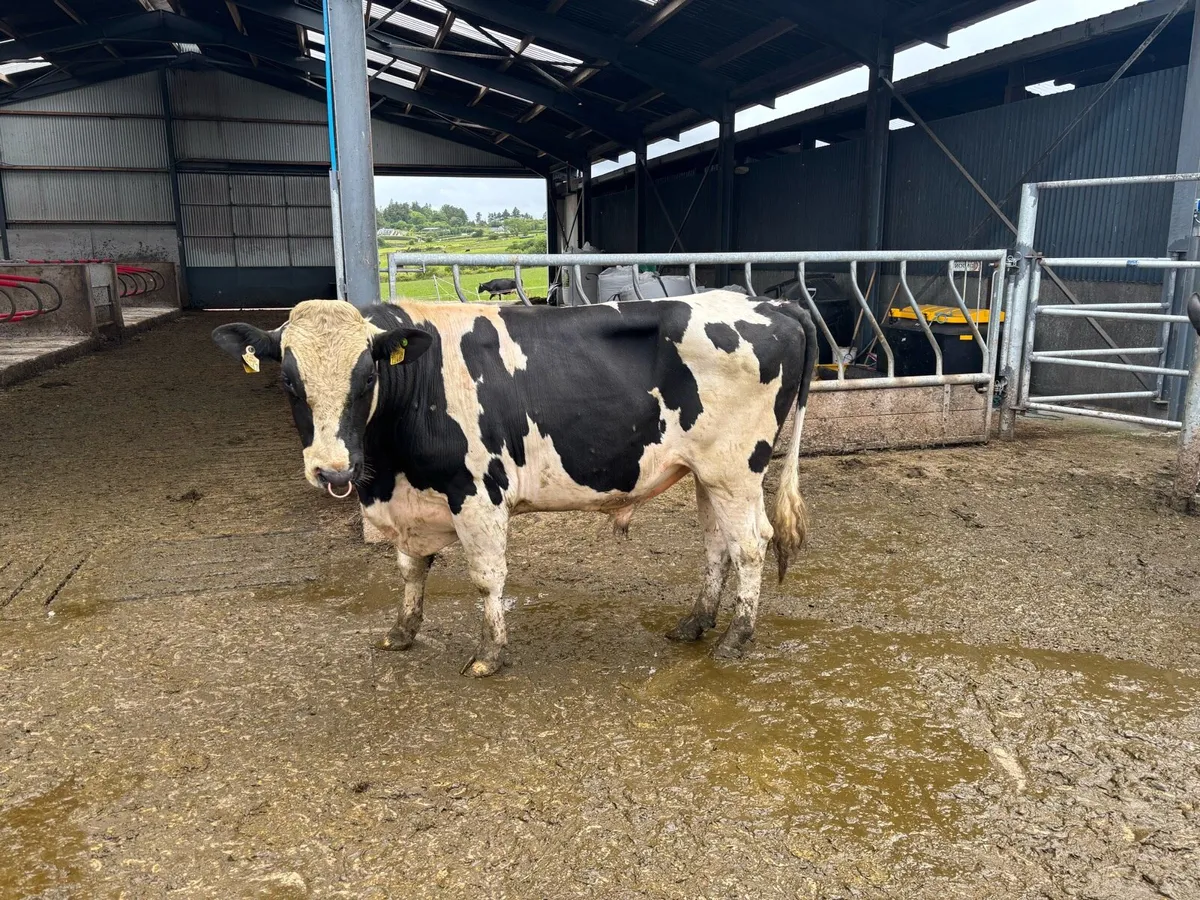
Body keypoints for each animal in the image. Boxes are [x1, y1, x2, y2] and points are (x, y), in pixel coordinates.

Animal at [212, 292, 817, 677]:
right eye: (289, 381)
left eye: (366, 378)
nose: (333, 470)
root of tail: (770, 304)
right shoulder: (411, 504)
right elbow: (410, 570)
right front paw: (403, 632)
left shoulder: (478, 493)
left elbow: (486, 578)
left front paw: (489, 653)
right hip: (707, 473)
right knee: (717, 545)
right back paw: (695, 623)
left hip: (736, 467)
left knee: (751, 545)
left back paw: (736, 639)